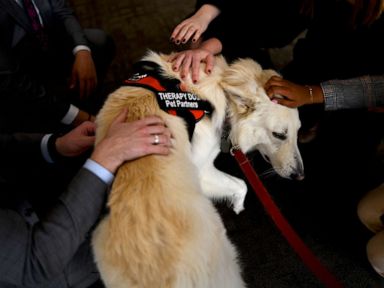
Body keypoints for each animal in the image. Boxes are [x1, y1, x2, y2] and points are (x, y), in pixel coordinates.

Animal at [91, 51, 304, 288]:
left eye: (298, 131)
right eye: (279, 134)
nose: (300, 175)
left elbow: (240, 184)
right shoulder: (202, 172)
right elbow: (242, 185)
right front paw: (238, 206)